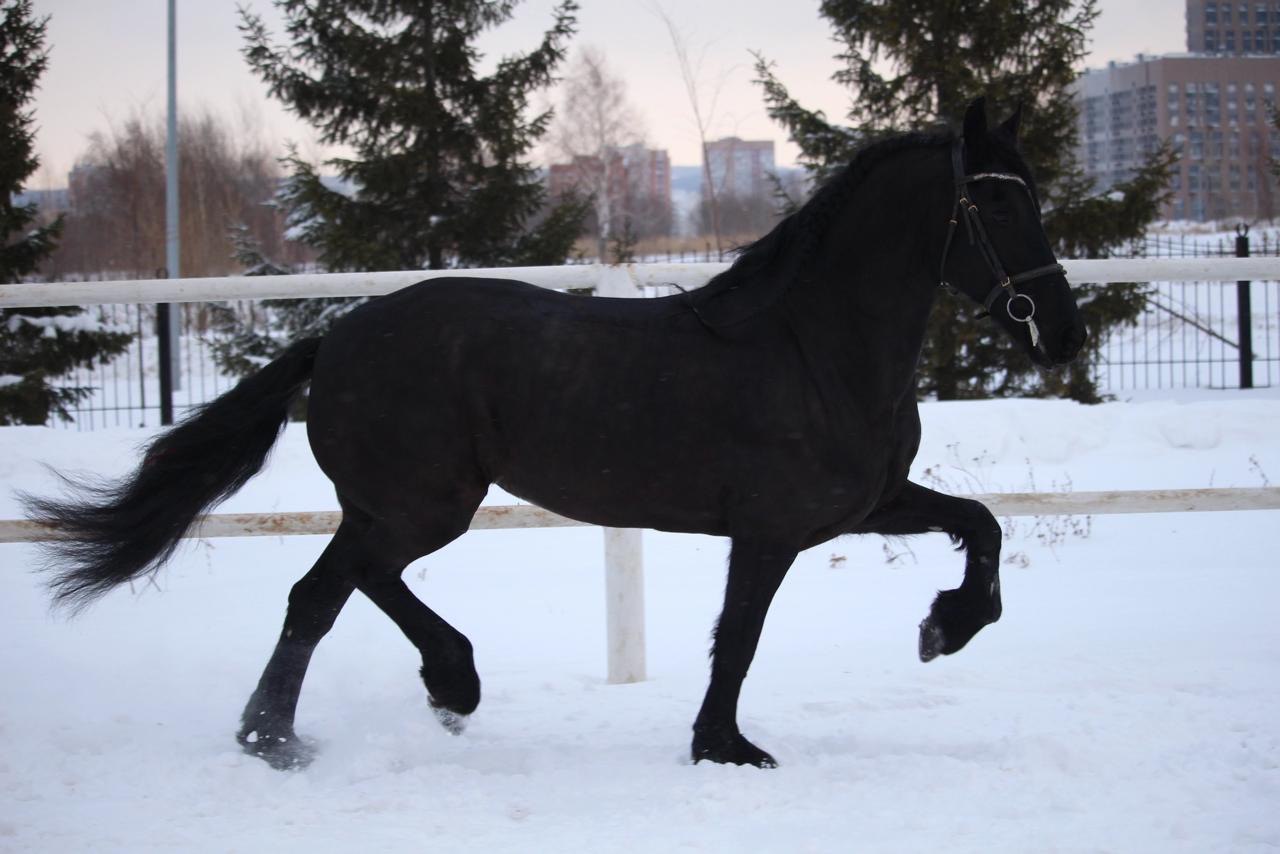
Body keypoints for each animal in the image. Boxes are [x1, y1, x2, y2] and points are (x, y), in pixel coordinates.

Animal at [23, 98, 1086, 770]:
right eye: (997, 199)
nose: (1063, 333)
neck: (812, 347)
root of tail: (337, 339)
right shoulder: (772, 530)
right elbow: (738, 638)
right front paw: (725, 748)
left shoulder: (862, 505)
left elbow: (982, 523)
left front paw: (944, 628)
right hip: (422, 505)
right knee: (326, 593)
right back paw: (311, 731)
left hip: (401, 506)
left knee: (343, 588)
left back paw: (403, 698)